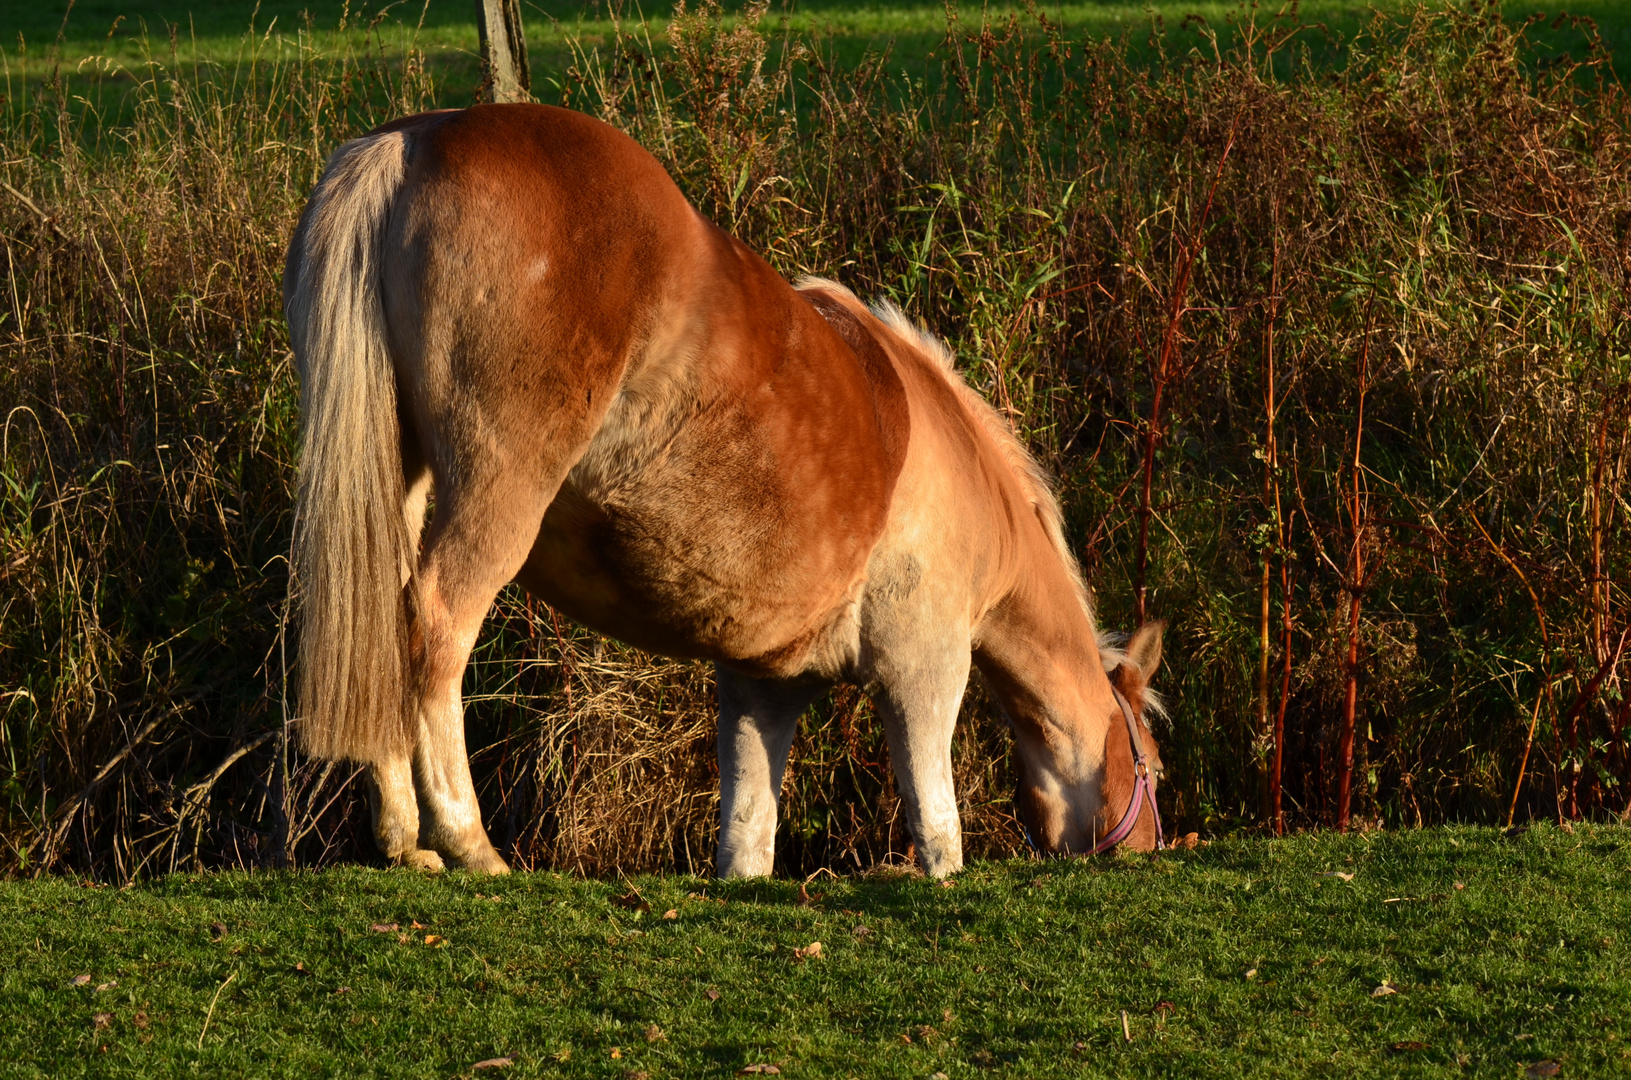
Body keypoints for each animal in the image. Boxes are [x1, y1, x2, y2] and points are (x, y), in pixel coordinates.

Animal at [287, 103, 1167, 880]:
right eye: (1152, 765)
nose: (1152, 848)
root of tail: (414, 141)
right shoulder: (923, 667)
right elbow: (936, 826)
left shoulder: (761, 684)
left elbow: (746, 838)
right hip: (495, 494)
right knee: (435, 624)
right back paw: (467, 844)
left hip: (399, 483)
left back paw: (404, 839)